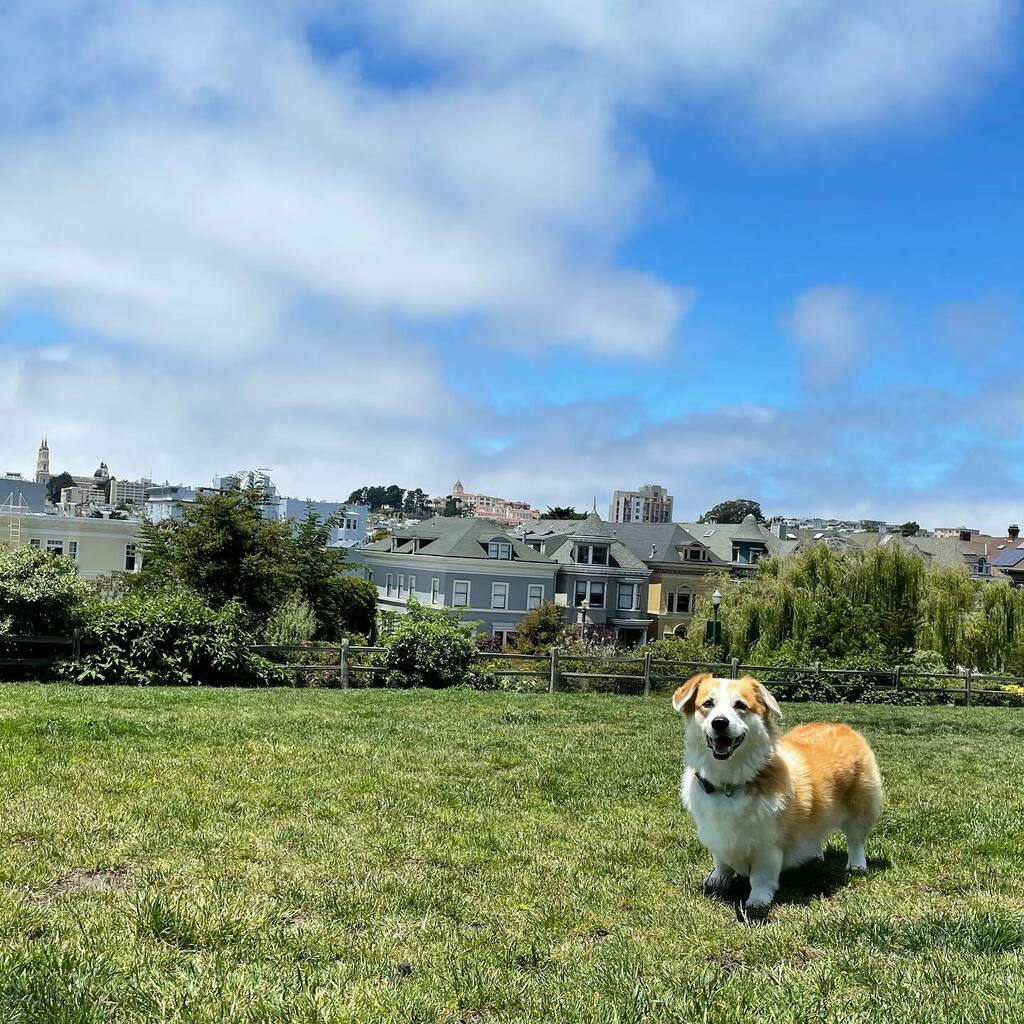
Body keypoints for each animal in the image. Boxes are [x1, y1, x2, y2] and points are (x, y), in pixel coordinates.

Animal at [671, 671, 880, 921]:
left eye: (740, 705)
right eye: (707, 704)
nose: (719, 722)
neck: (729, 783)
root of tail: (845, 728)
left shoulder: (768, 845)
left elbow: (761, 878)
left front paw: (757, 902)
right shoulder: (718, 836)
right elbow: (722, 863)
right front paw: (715, 881)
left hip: (859, 807)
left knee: (856, 839)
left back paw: (856, 865)